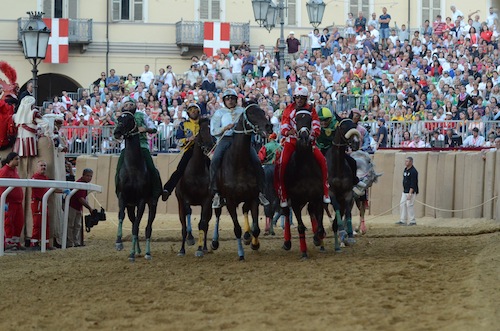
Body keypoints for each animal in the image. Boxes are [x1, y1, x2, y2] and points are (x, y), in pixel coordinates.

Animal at [114, 111, 158, 262]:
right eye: (118, 119)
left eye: (129, 120)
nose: (117, 132)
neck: (133, 168)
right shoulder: (123, 197)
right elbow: (121, 217)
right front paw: (119, 243)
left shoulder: (142, 200)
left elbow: (138, 226)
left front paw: (132, 253)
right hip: (130, 206)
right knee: (134, 224)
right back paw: (138, 250)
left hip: (152, 204)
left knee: (148, 228)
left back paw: (147, 253)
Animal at [174, 118, 215, 258]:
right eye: (201, 131)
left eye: (211, 129)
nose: (209, 146)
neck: (196, 172)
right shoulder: (185, 198)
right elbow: (188, 215)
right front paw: (190, 239)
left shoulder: (207, 201)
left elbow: (202, 223)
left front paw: (199, 249)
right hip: (180, 204)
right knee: (183, 224)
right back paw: (182, 249)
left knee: (206, 224)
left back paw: (205, 247)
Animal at [282, 111, 324, 260]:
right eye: (296, 119)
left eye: (310, 119)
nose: (304, 137)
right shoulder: (294, 200)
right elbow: (300, 226)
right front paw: (304, 252)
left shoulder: (317, 196)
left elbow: (320, 222)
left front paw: (318, 238)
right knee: (285, 212)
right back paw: (287, 242)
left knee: (311, 211)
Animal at [326, 116, 362, 252]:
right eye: (343, 127)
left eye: (354, 125)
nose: (356, 142)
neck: (338, 168)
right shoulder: (331, 193)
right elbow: (335, 208)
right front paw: (343, 231)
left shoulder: (347, 194)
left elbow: (347, 212)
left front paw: (350, 235)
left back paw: (338, 245)